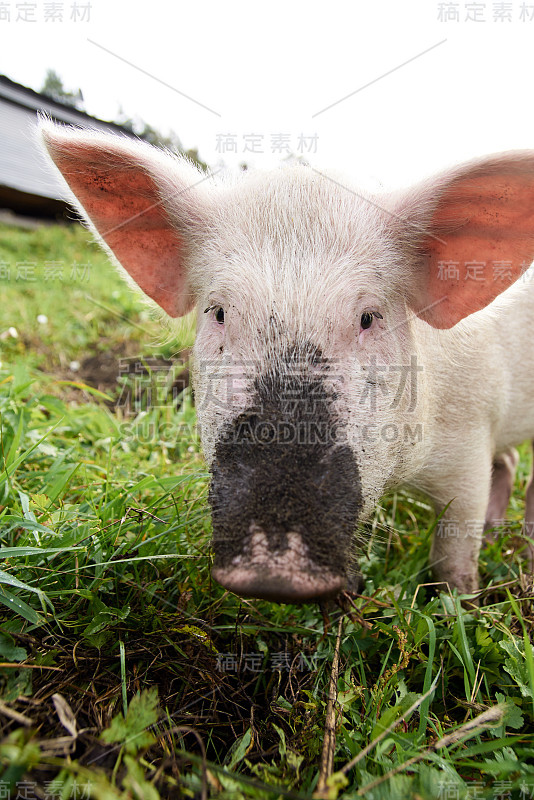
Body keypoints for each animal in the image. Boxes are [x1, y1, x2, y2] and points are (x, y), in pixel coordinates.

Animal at [39, 120, 534, 600]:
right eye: (219, 312)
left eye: (368, 318)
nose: (274, 567)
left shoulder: (470, 436)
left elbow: (454, 550)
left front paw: (459, 603)